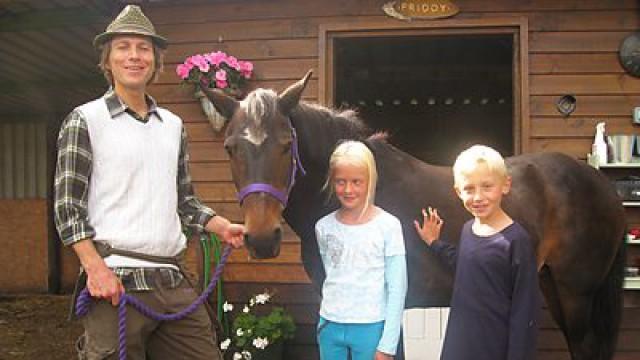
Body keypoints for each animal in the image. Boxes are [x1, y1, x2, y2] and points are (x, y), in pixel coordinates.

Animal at [204, 71, 624, 358]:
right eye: (229, 148)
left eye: (285, 144)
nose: (261, 237)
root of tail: (603, 186)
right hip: (553, 284)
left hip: (576, 292)